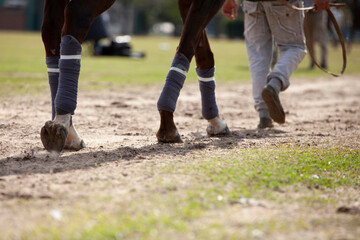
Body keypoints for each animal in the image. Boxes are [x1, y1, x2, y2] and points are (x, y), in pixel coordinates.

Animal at [40, 0, 229, 153]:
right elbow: (188, 46)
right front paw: (168, 125)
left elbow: (202, 53)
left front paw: (214, 120)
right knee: (77, 14)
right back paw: (64, 121)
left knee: (51, 30)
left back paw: (66, 128)